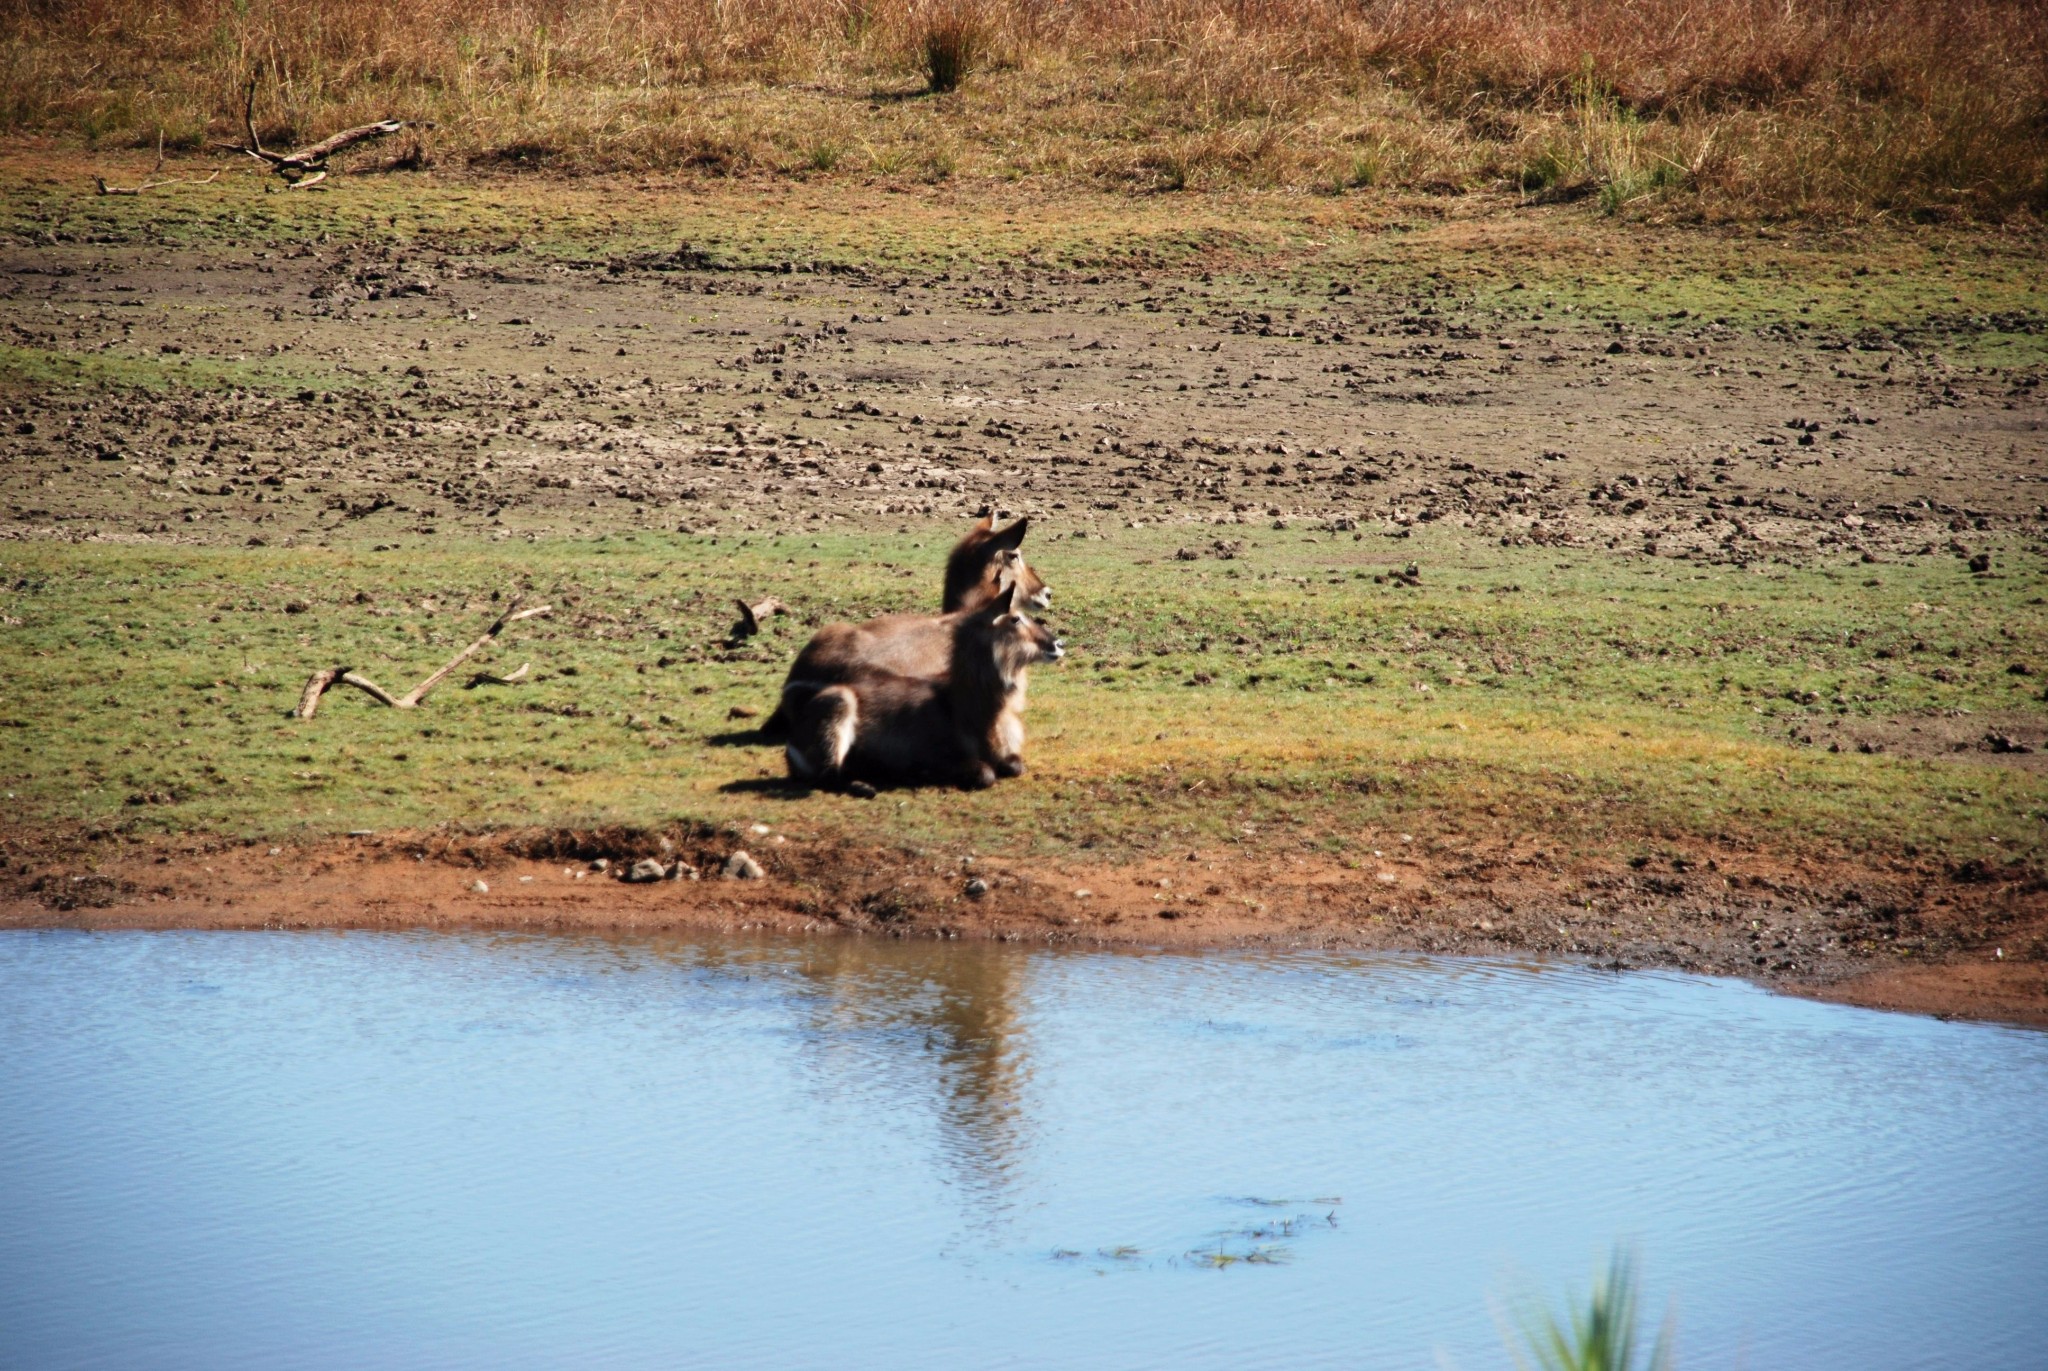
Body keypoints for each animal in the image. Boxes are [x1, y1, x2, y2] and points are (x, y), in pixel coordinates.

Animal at [782, 582, 1064, 791]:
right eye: (1015, 619)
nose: (1059, 643)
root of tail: (791, 744)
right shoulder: (940, 755)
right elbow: (985, 773)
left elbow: (1016, 765)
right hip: (839, 701)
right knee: (830, 775)